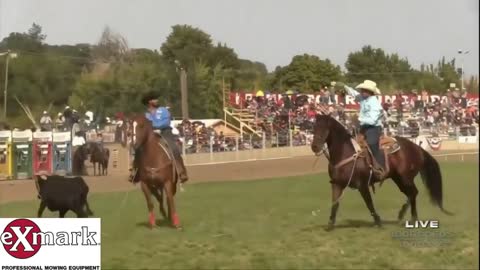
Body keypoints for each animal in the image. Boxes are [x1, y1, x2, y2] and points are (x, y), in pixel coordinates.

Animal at [310, 113, 452, 230]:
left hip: (405, 178)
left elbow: (369, 203)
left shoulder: (362, 185)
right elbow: (334, 204)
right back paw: (403, 216)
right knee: (411, 194)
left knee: (413, 193)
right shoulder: (337, 185)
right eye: (313, 128)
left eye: (325, 129)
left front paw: (378, 222)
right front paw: (330, 225)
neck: (346, 153)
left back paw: (411, 218)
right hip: (398, 179)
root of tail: (417, 147)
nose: (315, 147)